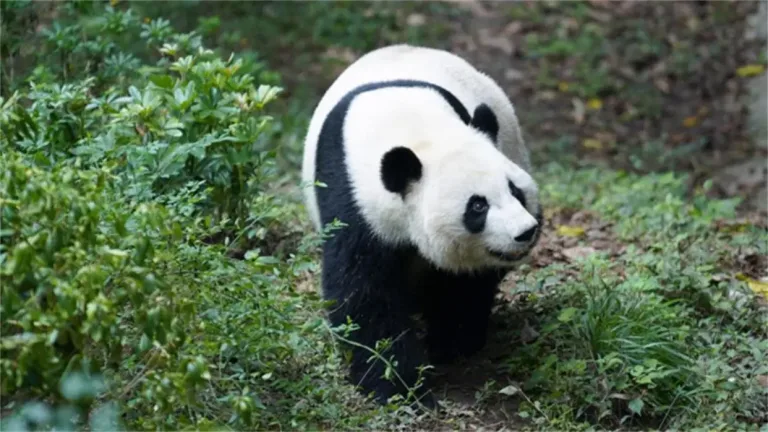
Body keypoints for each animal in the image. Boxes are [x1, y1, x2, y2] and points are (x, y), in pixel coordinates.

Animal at [301, 44, 542, 408]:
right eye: (478, 206)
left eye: (515, 191)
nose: (525, 232)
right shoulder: (351, 198)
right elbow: (365, 292)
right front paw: (396, 385)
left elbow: (462, 282)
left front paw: (451, 342)